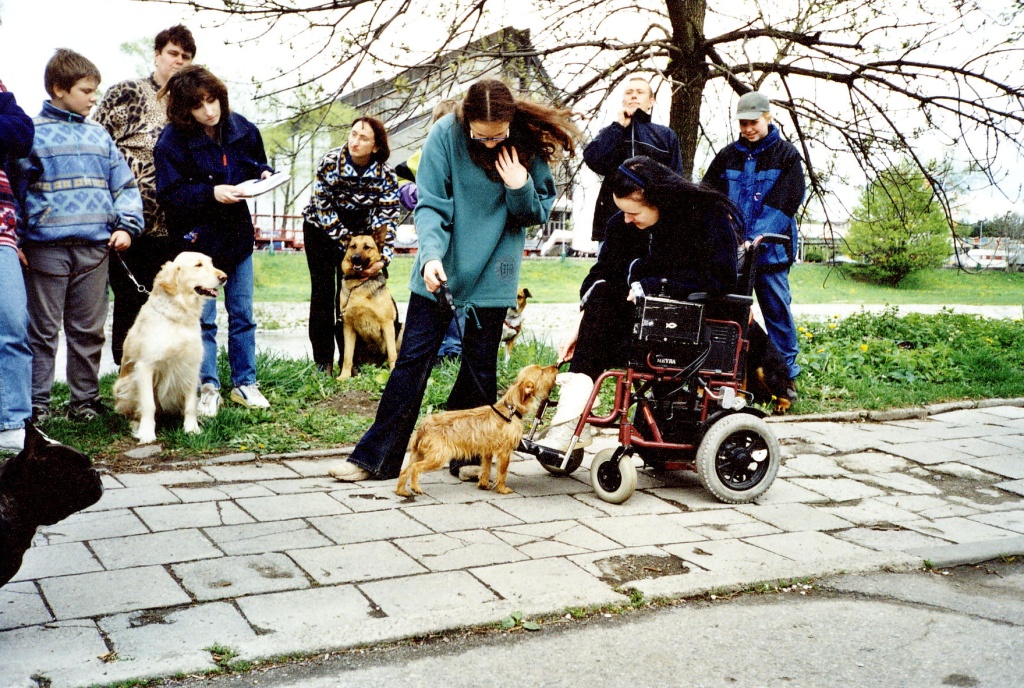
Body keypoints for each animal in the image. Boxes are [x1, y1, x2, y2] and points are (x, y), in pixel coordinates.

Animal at [116, 250, 228, 440]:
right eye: (198, 265)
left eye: (211, 263)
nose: (224, 277)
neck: (179, 315)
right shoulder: (145, 366)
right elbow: (148, 405)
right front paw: (147, 433)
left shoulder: (191, 366)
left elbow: (190, 404)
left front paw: (192, 428)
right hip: (126, 384)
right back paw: (136, 424)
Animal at [335, 233, 399, 378]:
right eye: (353, 246)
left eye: (367, 247)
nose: (355, 258)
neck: (359, 282)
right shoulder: (348, 326)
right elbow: (347, 357)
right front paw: (344, 377)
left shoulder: (387, 324)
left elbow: (393, 354)